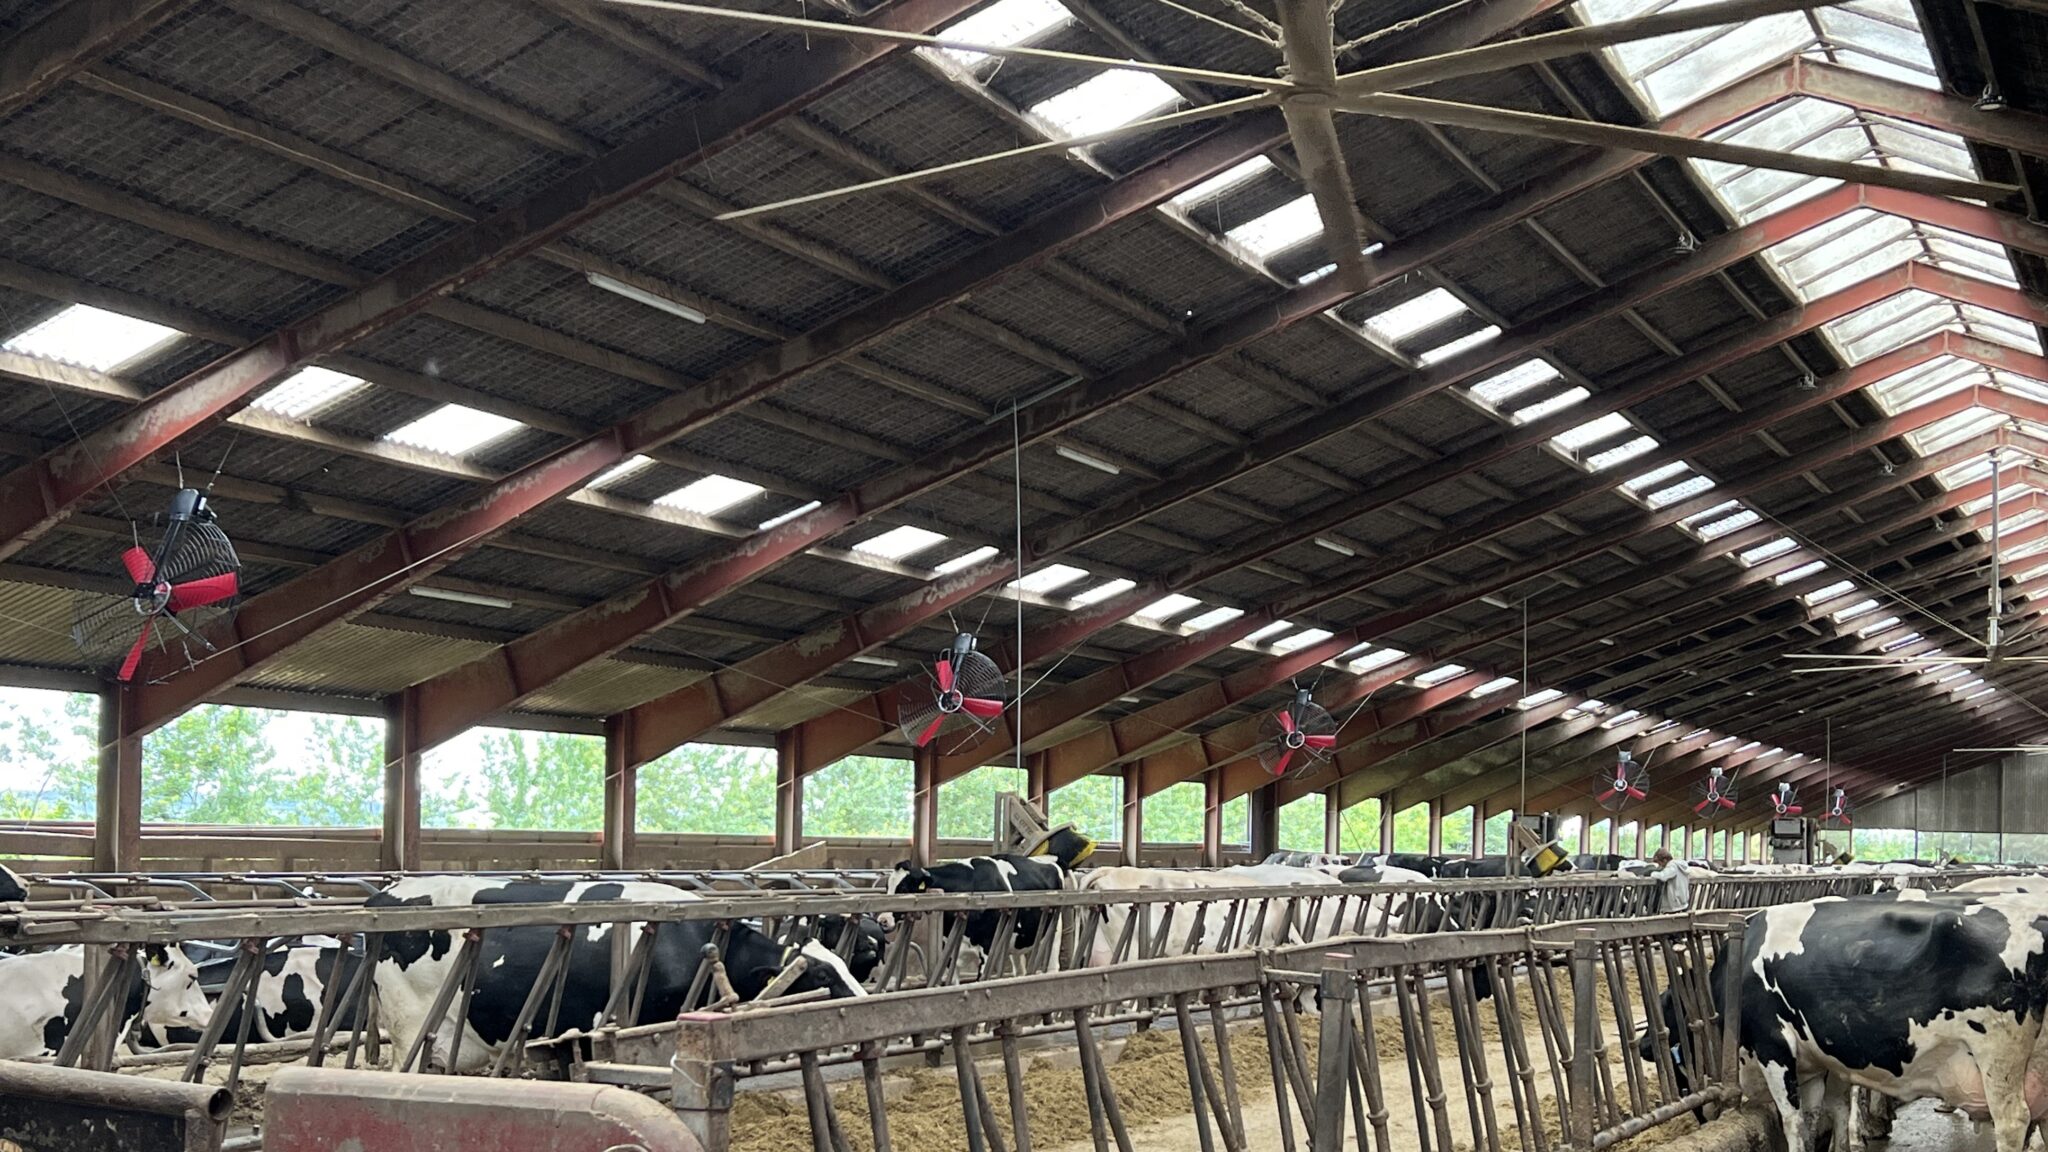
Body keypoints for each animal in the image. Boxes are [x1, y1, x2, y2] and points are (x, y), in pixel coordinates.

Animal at [1641, 891, 2048, 1152]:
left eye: (1677, 1069)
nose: (1646, 1046)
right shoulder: (1818, 1059)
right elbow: (1825, 1112)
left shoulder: (1774, 1045)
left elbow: (1794, 1121)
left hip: (1998, 1057)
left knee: (2013, 1121)